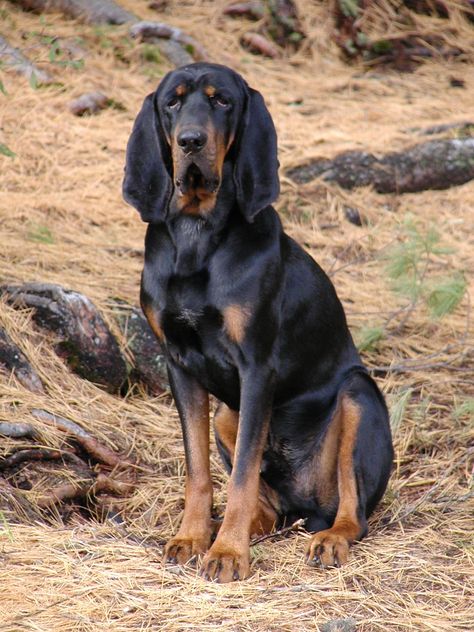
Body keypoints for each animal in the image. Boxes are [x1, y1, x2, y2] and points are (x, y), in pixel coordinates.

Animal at [122, 63, 392, 584]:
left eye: (222, 101)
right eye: (172, 102)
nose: (189, 141)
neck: (197, 233)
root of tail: (307, 502)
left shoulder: (256, 368)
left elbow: (243, 473)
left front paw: (228, 554)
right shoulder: (179, 365)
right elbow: (199, 470)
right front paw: (192, 538)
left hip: (357, 395)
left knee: (353, 513)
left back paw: (327, 539)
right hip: (229, 413)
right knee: (267, 505)